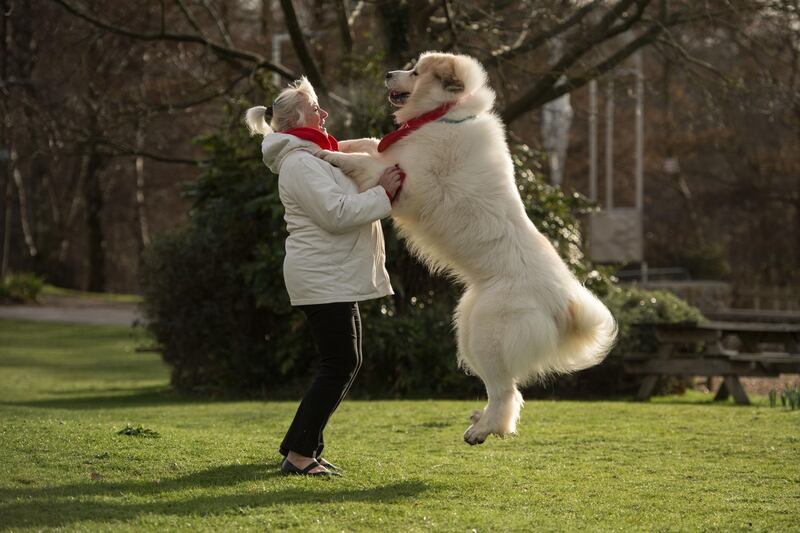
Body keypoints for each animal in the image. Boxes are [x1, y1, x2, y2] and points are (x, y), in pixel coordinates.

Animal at [316, 52, 616, 444]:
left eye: (415, 72)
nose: (388, 73)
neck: (444, 114)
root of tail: (565, 302)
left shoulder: (403, 179)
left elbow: (366, 161)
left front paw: (329, 154)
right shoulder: (391, 153)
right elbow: (366, 141)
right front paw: (336, 142)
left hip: (489, 334)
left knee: (507, 391)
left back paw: (483, 429)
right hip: (469, 331)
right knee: (503, 391)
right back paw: (483, 422)